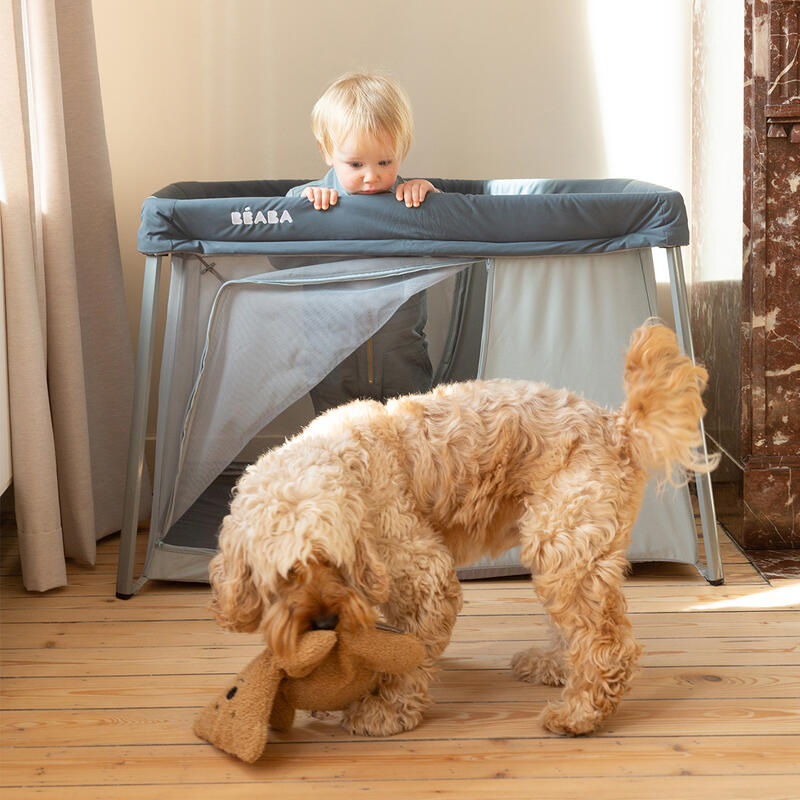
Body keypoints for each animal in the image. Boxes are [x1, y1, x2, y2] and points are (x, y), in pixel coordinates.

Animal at [209, 320, 716, 736]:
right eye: (285, 575)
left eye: (333, 560)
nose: (324, 623)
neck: (342, 462)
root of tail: (616, 427)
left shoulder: (425, 576)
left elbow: (408, 656)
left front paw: (383, 711)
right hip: (566, 550)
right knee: (577, 628)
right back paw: (551, 665)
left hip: (564, 544)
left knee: (607, 644)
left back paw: (578, 715)